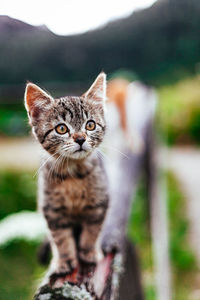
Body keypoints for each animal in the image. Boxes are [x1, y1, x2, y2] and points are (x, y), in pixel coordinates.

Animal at [24, 74, 109, 280]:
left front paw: (89, 252)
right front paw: (64, 261)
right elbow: (60, 238)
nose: (80, 139)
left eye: (90, 125)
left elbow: (92, 229)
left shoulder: (99, 202)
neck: (73, 175)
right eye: (61, 129)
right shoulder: (51, 209)